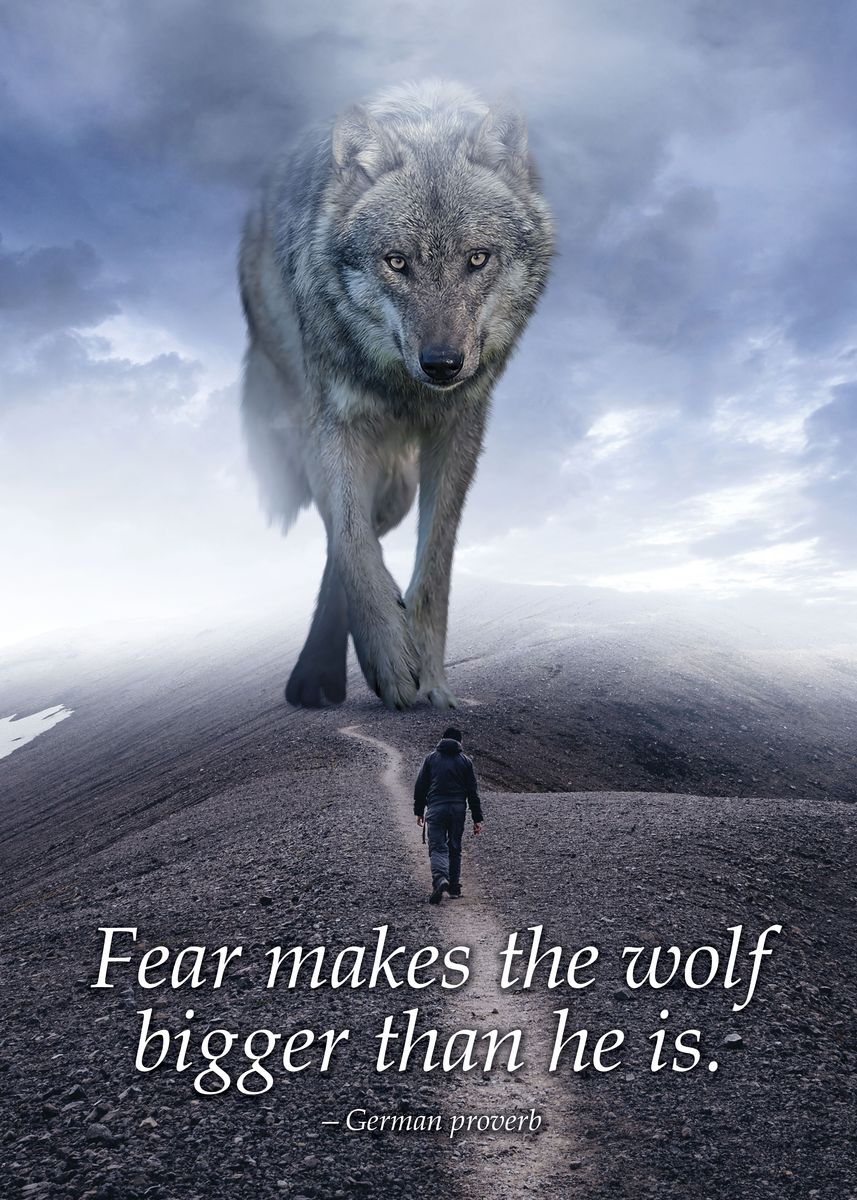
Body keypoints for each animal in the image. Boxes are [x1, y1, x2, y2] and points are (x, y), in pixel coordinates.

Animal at [239, 80, 553, 710]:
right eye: (397, 262)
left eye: (477, 258)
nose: (442, 364)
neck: (405, 390)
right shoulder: (333, 424)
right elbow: (353, 543)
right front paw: (388, 656)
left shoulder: (460, 431)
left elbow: (434, 564)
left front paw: (429, 678)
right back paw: (318, 673)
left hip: (397, 485)